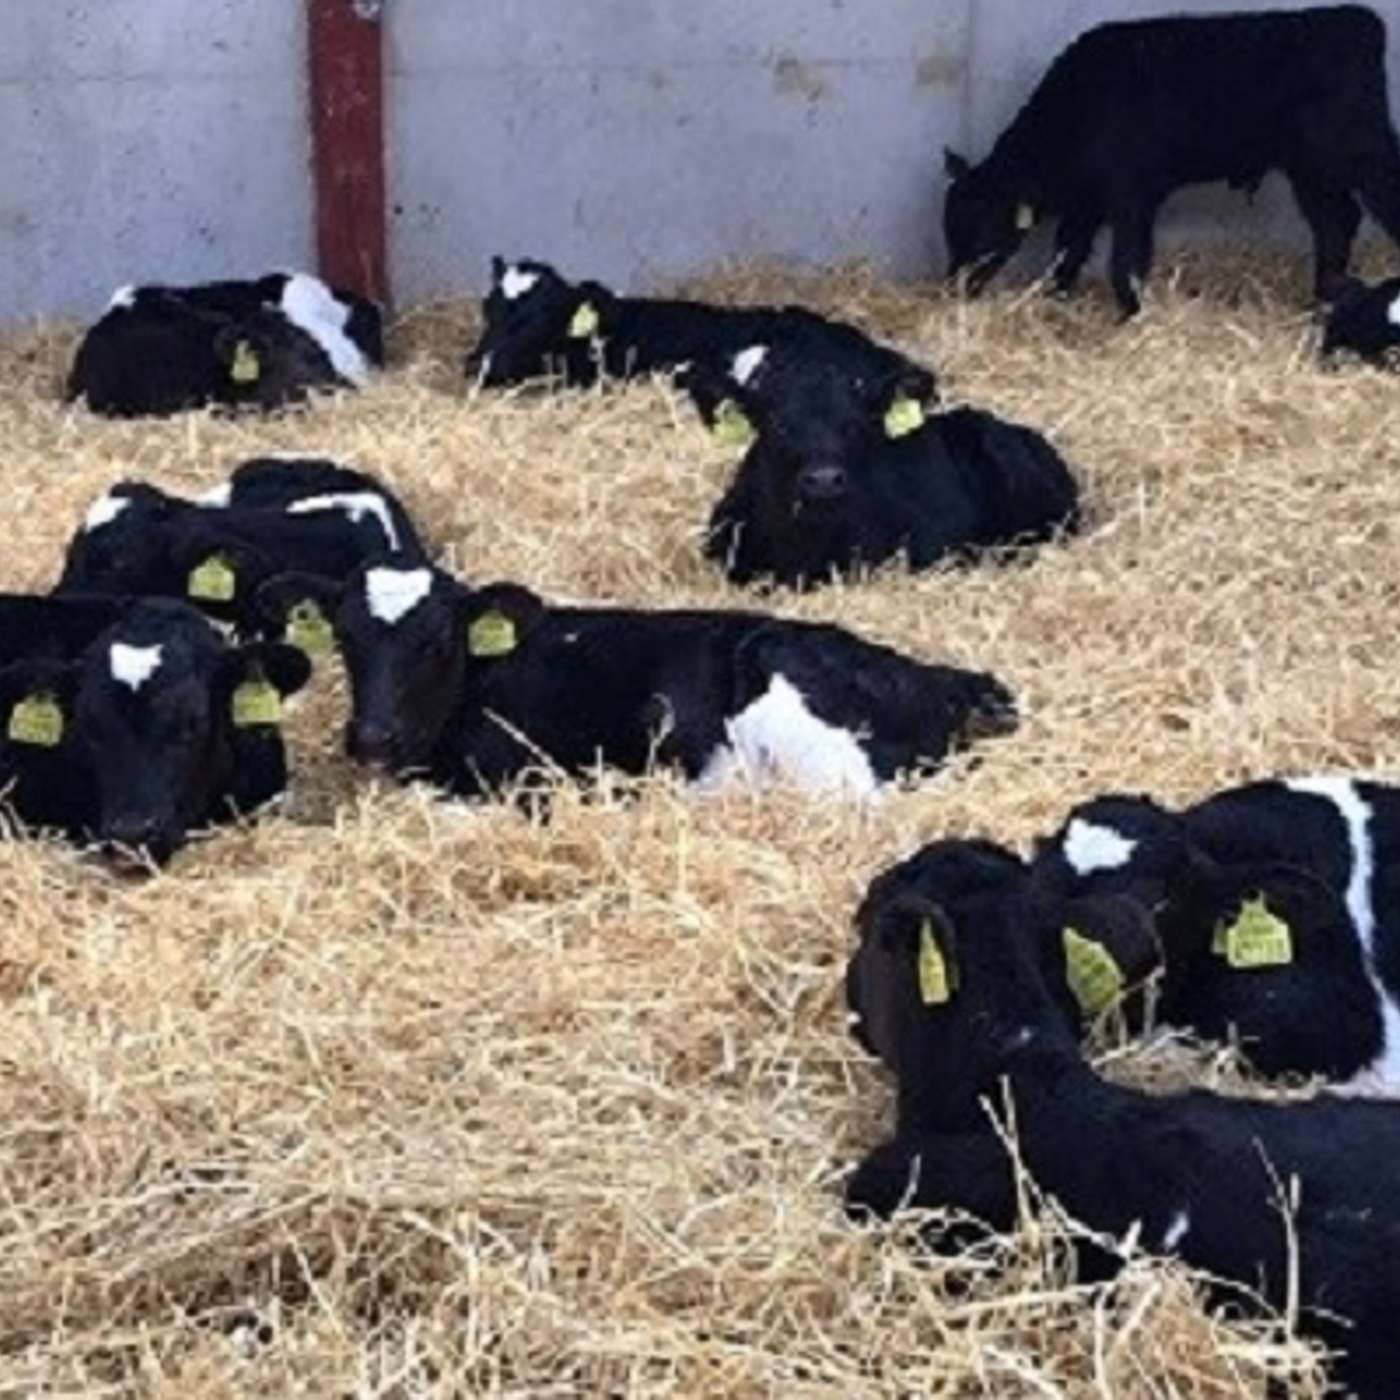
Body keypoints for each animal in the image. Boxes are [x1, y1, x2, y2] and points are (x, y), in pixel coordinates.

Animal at [942, 6, 1400, 317]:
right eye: (949, 230)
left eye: (982, 231)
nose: (956, 287)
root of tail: (1355, 18)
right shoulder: (1086, 204)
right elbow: (1068, 253)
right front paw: (1058, 301)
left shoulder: (1132, 197)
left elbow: (1125, 261)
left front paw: (1130, 318)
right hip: (1310, 169)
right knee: (1336, 221)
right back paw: (1326, 294)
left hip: (1361, 150)